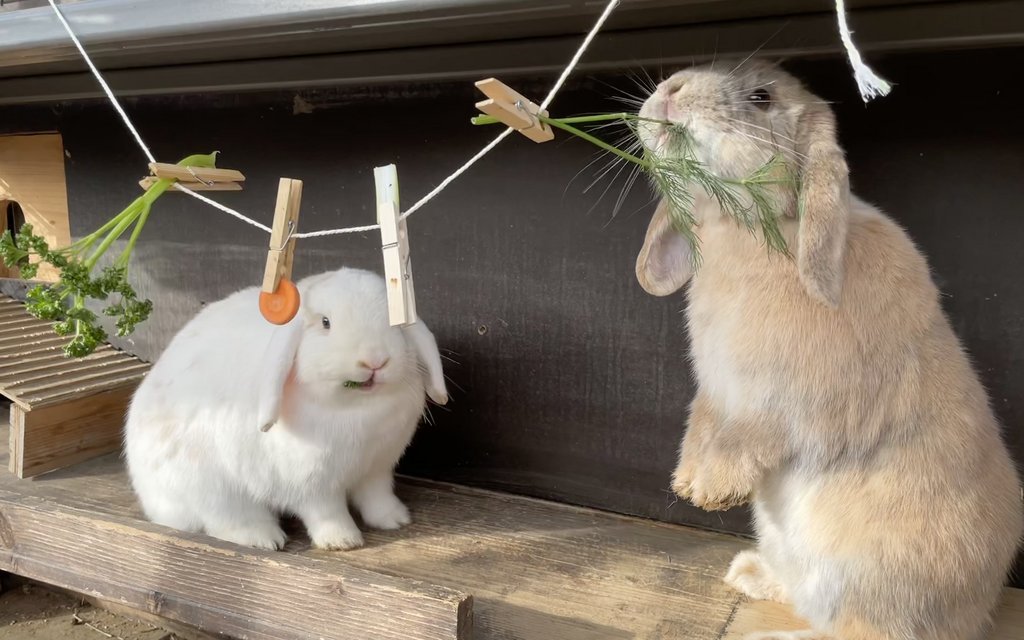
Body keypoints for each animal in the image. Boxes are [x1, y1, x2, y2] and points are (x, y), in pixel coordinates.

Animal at [124, 264, 448, 548]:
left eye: (397, 324)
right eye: (326, 323)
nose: (375, 360)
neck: (357, 408)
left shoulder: (377, 467)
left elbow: (376, 496)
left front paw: (395, 519)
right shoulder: (312, 483)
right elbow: (326, 511)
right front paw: (343, 541)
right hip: (210, 487)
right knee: (223, 520)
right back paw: (264, 538)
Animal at [634, 61, 1019, 638]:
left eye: (762, 96)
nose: (670, 90)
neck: (746, 230)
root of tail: (978, 610)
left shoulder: (780, 401)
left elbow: (749, 436)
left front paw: (711, 491)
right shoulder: (716, 390)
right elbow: (702, 423)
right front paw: (687, 481)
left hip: (868, 577)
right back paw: (749, 574)